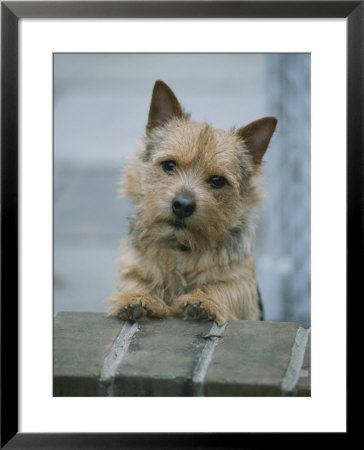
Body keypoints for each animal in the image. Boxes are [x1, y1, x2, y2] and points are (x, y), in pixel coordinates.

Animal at [106, 78, 278, 324]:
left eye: (217, 180)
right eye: (169, 165)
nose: (183, 205)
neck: (182, 250)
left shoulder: (243, 283)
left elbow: (224, 287)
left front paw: (201, 300)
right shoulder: (133, 267)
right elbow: (135, 281)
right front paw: (137, 298)